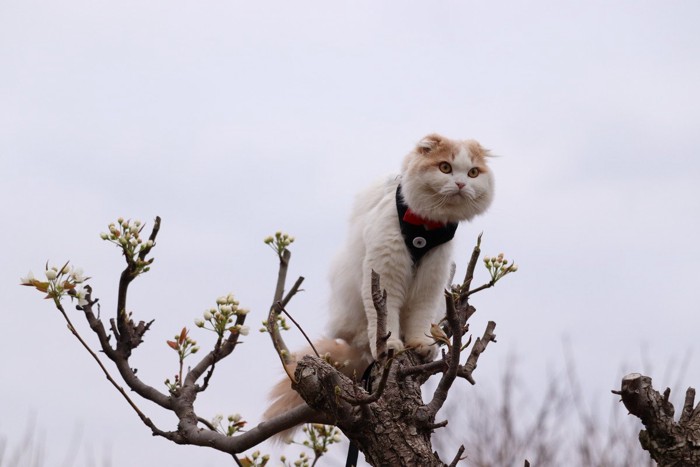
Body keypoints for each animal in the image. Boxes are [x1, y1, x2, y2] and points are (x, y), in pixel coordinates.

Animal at [260, 133, 494, 438]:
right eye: (445, 167)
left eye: (473, 172)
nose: (461, 184)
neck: (425, 229)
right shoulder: (385, 273)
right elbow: (385, 319)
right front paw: (389, 345)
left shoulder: (432, 281)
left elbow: (419, 320)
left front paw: (421, 344)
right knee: (359, 334)